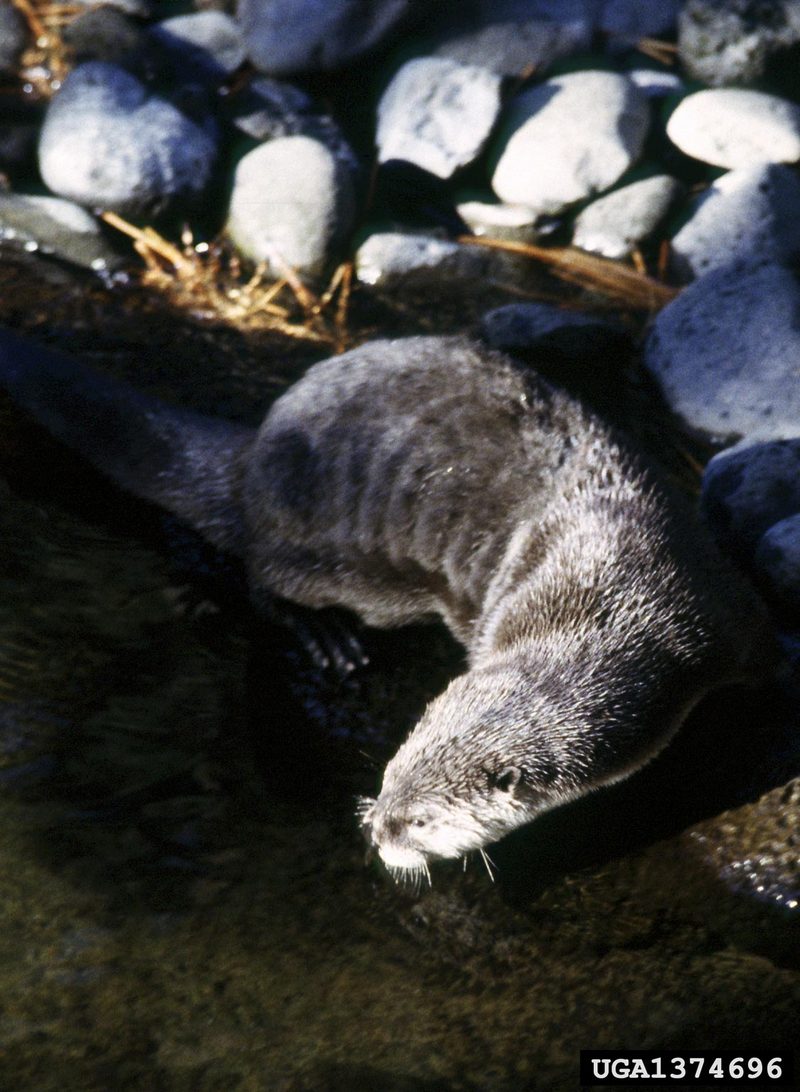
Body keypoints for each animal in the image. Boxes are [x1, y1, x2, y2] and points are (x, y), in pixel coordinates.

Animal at [0, 323, 777, 877]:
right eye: (389, 772)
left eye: (423, 819)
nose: (377, 830)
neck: (610, 600)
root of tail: (259, 456)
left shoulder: (724, 615)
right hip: (339, 563)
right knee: (261, 580)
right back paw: (326, 640)